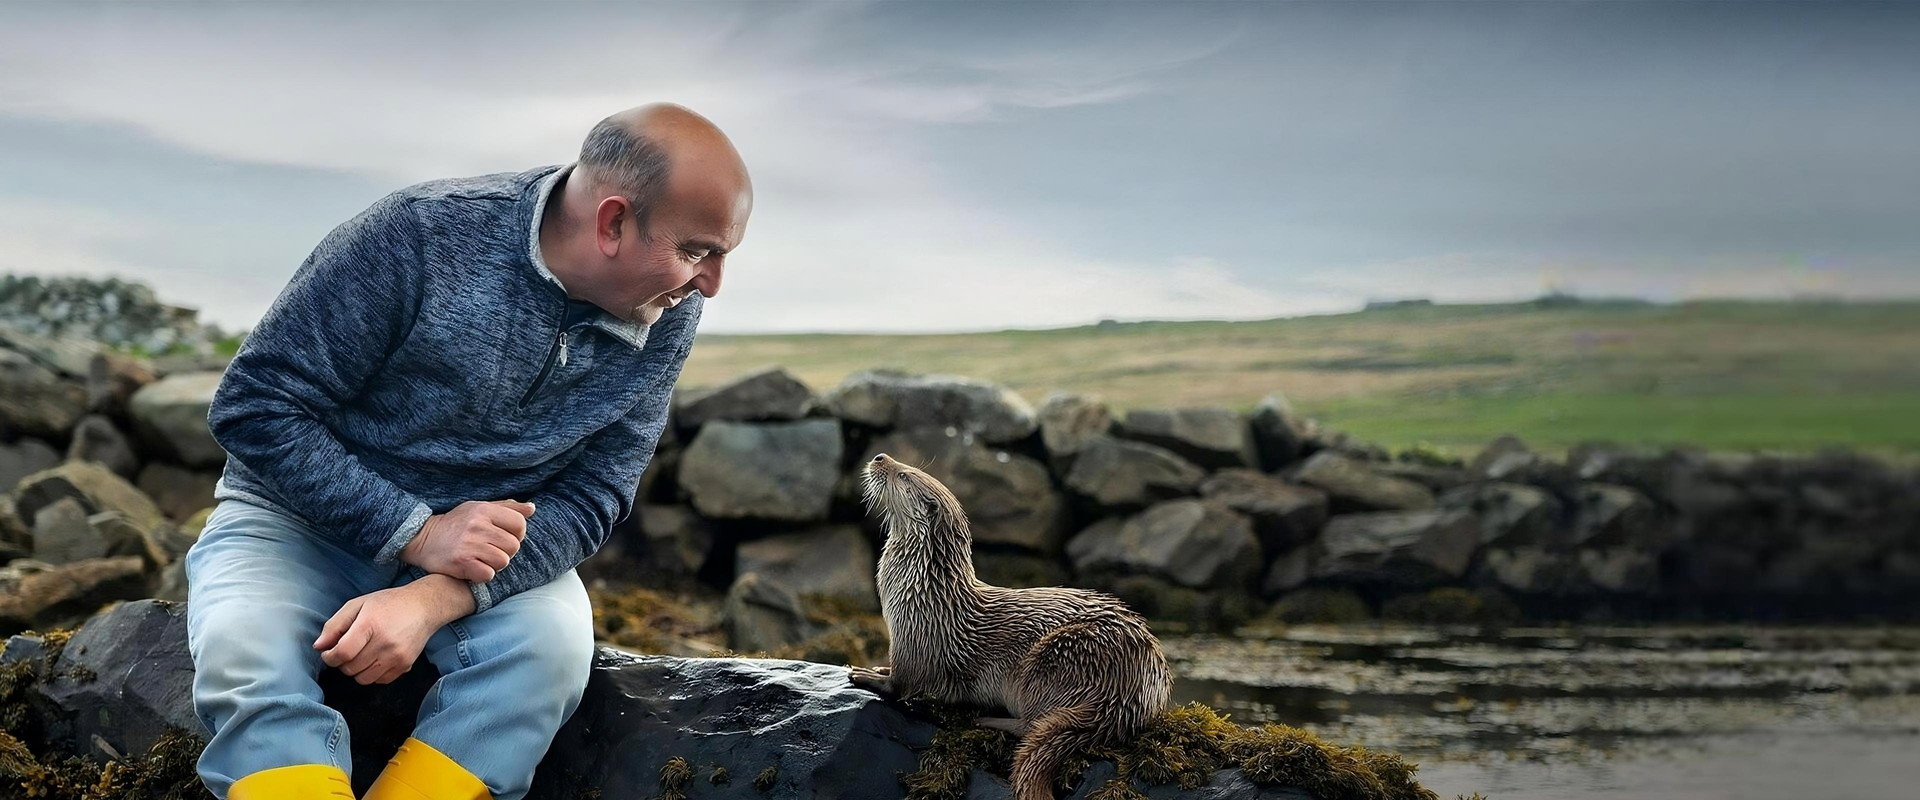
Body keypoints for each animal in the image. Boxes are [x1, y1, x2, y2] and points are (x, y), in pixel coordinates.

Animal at [850, 453, 1173, 800]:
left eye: (905, 475)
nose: (880, 457)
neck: (925, 589)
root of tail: (1132, 695)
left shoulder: (917, 637)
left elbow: (901, 684)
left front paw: (868, 675)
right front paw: (878, 668)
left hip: (1055, 659)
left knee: (1032, 723)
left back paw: (987, 719)